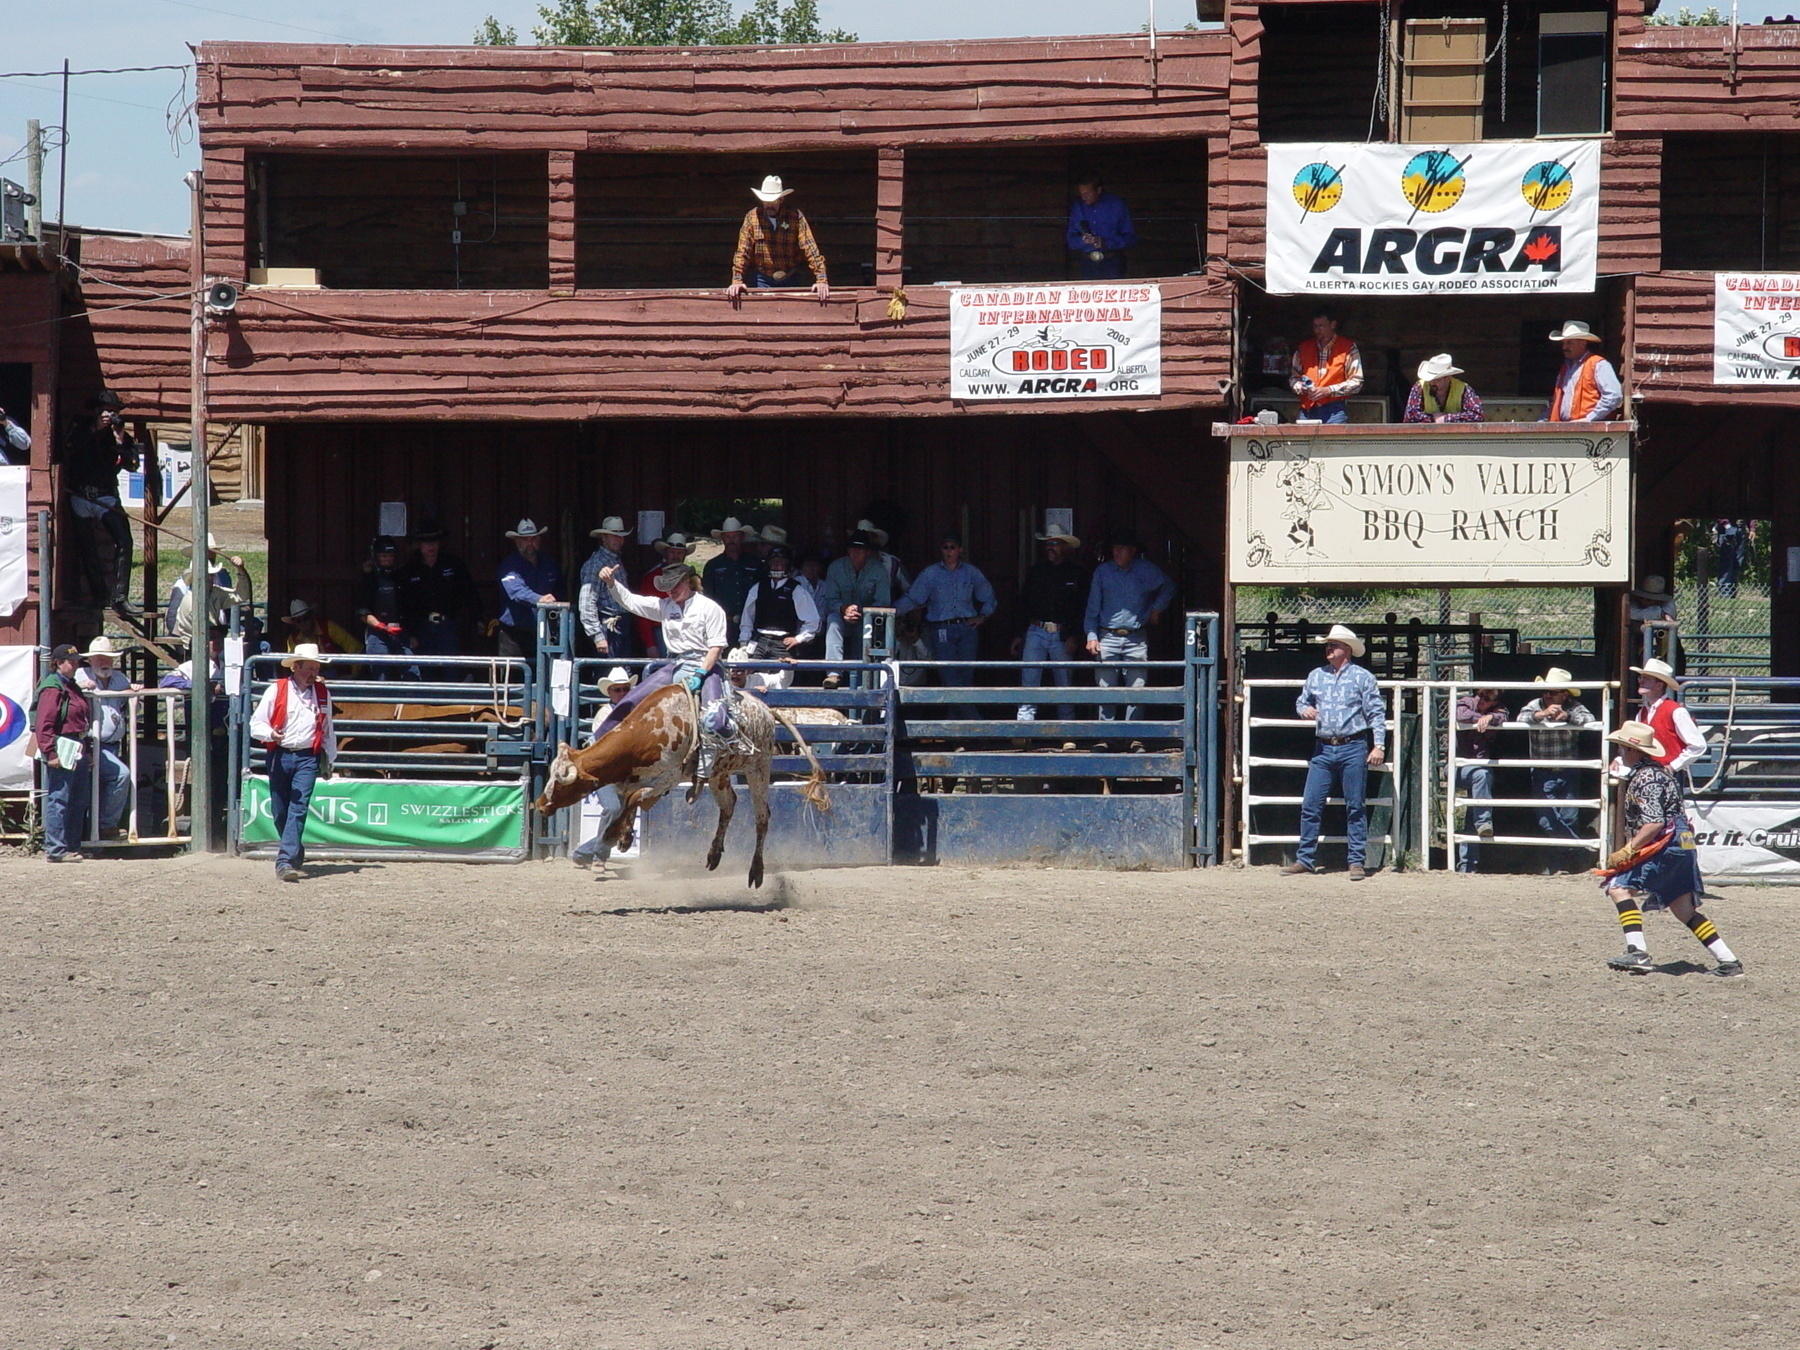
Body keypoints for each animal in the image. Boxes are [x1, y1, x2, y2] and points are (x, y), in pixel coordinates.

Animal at [529, 687, 831, 889]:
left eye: (561, 783)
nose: (540, 805)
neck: (650, 727)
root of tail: (767, 710)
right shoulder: (635, 779)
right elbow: (628, 799)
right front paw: (625, 836)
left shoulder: (670, 776)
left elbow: (635, 798)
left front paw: (614, 835)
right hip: (719, 775)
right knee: (729, 805)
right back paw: (714, 854)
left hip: (758, 767)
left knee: (762, 817)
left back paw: (756, 871)